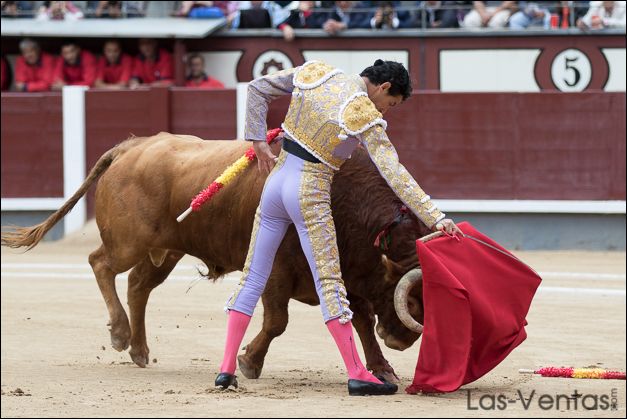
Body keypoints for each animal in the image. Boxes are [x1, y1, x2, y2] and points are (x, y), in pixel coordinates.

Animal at [1, 134, 432, 384]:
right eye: (409, 301)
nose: (403, 340)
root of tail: (132, 146)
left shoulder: (349, 272)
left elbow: (360, 321)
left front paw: (382, 369)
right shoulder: (277, 271)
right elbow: (277, 322)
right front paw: (249, 362)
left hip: (165, 251)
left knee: (138, 285)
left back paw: (139, 350)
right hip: (129, 242)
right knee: (101, 263)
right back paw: (121, 335)